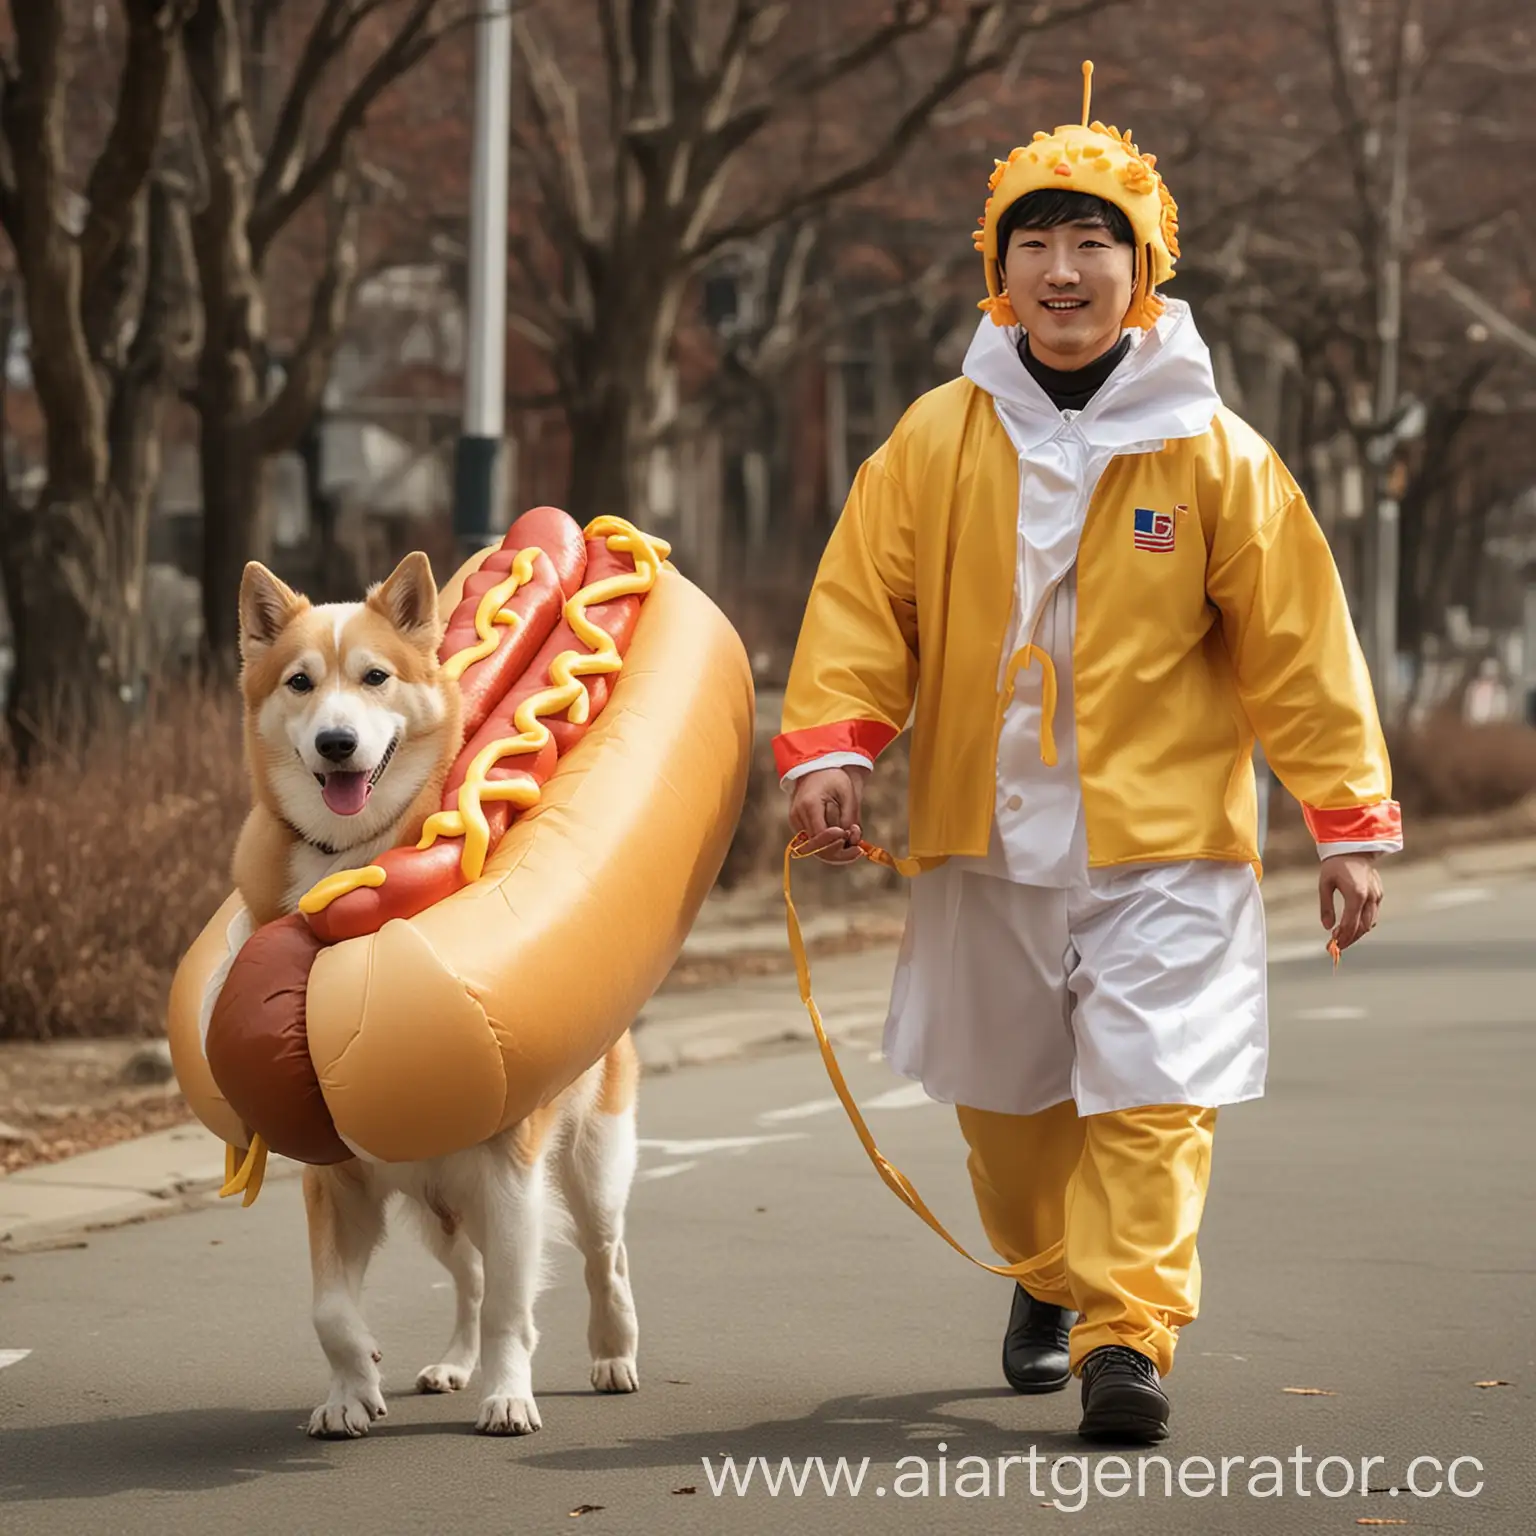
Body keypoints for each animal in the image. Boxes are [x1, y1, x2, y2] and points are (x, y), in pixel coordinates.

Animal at [230, 556, 638, 1437]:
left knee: (602, 1251)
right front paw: (351, 1388)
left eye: (374, 677)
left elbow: (515, 1309)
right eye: (300, 683)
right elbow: (331, 1311)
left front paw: (509, 1394)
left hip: (585, 1159)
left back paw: (613, 1351)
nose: (337, 743)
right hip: (437, 1206)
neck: (356, 863)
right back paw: (453, 1363)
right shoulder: (335, 1181)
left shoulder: (512, 1176)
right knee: (471, 1276)